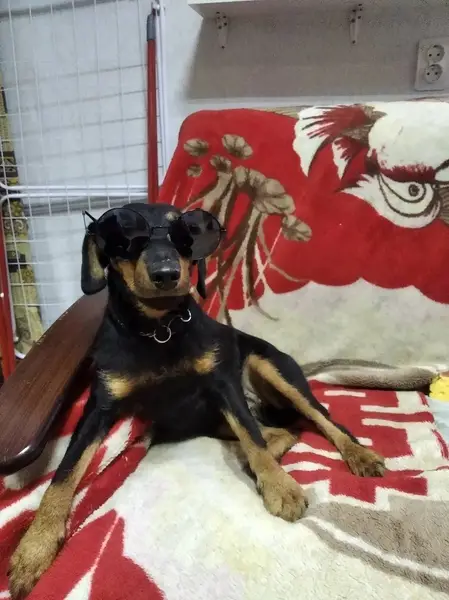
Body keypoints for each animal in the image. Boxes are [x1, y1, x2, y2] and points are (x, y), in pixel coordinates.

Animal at [9, 202, 385, 598]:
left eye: (187, 233)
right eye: (124, 234)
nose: (166, 274)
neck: (157, 329)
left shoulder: (223, 385)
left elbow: (253, 437)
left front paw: (280, 488)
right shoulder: (100, 407)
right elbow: (64, 473)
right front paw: (34, 547)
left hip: (271, 369)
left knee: (319, 421)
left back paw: (356, 454)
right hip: (219, 419)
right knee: (282, 433)